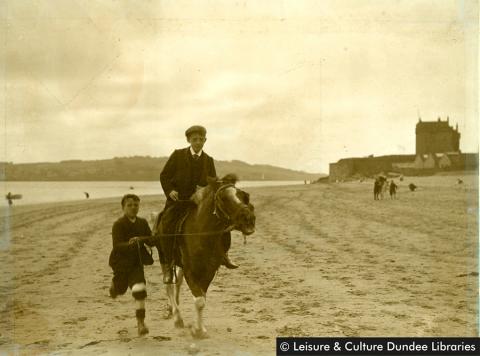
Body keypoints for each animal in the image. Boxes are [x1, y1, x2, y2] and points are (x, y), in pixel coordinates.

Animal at [153, 175, 256, 340]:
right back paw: (177, 317)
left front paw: (199, 328)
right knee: (169, 284)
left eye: (242, 195)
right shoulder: (190, 271)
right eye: (223, 198)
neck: (202, 234)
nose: (249, 219)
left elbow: (202, 298)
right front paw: (198, 330)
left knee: (177, 283)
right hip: (164, 256)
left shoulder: (209, 271)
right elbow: (199, 300)